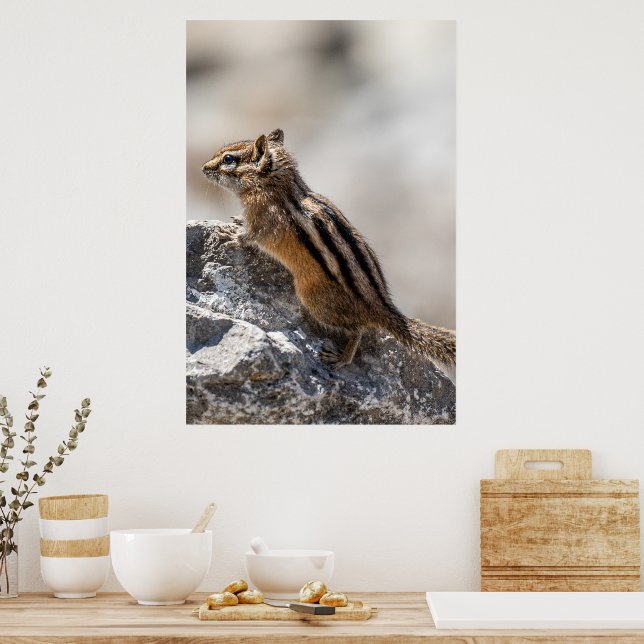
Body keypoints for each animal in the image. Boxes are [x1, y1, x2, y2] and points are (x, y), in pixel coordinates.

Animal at [202, 129, 455, 380]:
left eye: (228, 159)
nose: (204, 168)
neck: (275, 185)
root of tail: (381, 305)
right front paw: (235, 222)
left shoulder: (263, 221)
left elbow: (249, 237)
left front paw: (229, 235)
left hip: (315, 301)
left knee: (358, 329)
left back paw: (341, 358)